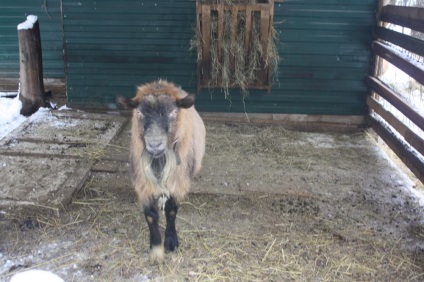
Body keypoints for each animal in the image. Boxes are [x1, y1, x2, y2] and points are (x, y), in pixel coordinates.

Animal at [117, 80, 206, 260]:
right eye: (139, 112)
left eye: (173, 112)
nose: (154, 144)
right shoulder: (143, 183)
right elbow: (151, 216)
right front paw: (156, 248)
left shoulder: (178, 182)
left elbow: (171, 211)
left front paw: (171, 242)